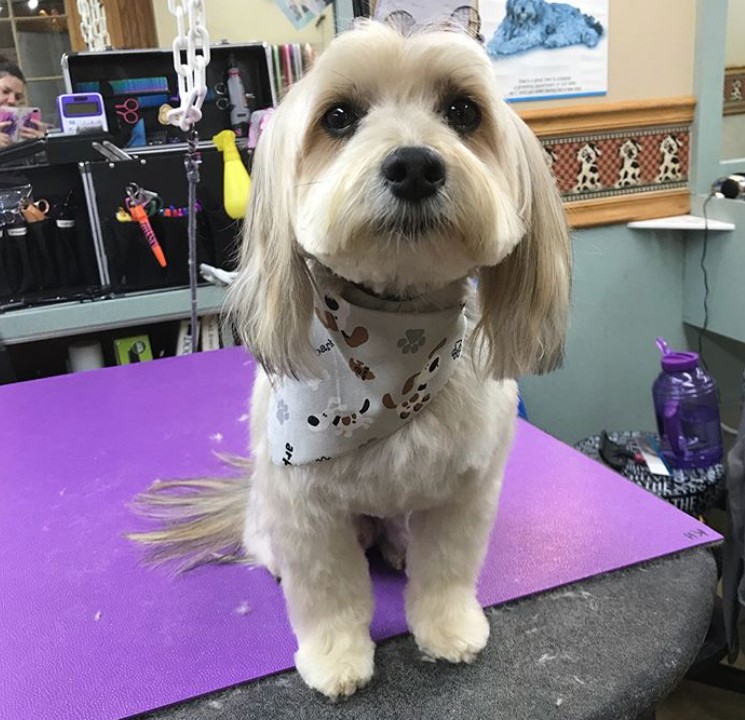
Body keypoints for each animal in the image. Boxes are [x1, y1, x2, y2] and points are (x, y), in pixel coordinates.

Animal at [129, 19, 568, 700]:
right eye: (338, 117)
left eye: (463, 111)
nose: (414, 165)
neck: (392, 354)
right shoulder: (305, 508)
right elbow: (328, 592)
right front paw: (336, 659)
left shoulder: (465, 493)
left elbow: (446, 570)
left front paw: (447, 629)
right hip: (273, 506)